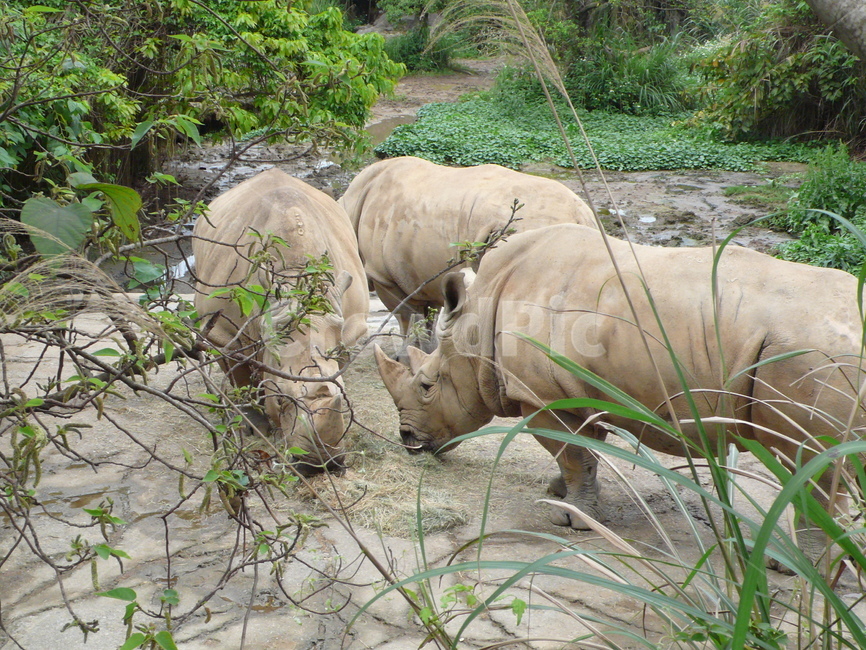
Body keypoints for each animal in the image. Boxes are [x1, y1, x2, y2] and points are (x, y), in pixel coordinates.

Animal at [194, 168, 369, 474]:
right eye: (280, 399)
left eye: (345, 397)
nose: (320, 465)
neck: (296, 272)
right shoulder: (222, 330)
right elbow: (239, 372)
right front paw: (255, 426)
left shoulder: (350, 329)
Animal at [339, 156, 595, 349]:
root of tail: (581, 212)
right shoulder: (423, 276)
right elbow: (427, 319)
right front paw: (425, 353)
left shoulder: (384, 276)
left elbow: (406, 319)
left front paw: (406, 354)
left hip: (533, 226)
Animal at [375, 223, 866, 531]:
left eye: (427, 385)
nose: (408, 440)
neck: (477, 323)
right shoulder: (575, 390)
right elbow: (583, 455)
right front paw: (560, 494)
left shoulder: (543, 395)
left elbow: (574, 455)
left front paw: (569, 519)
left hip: (816, 355)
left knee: (812, 461)